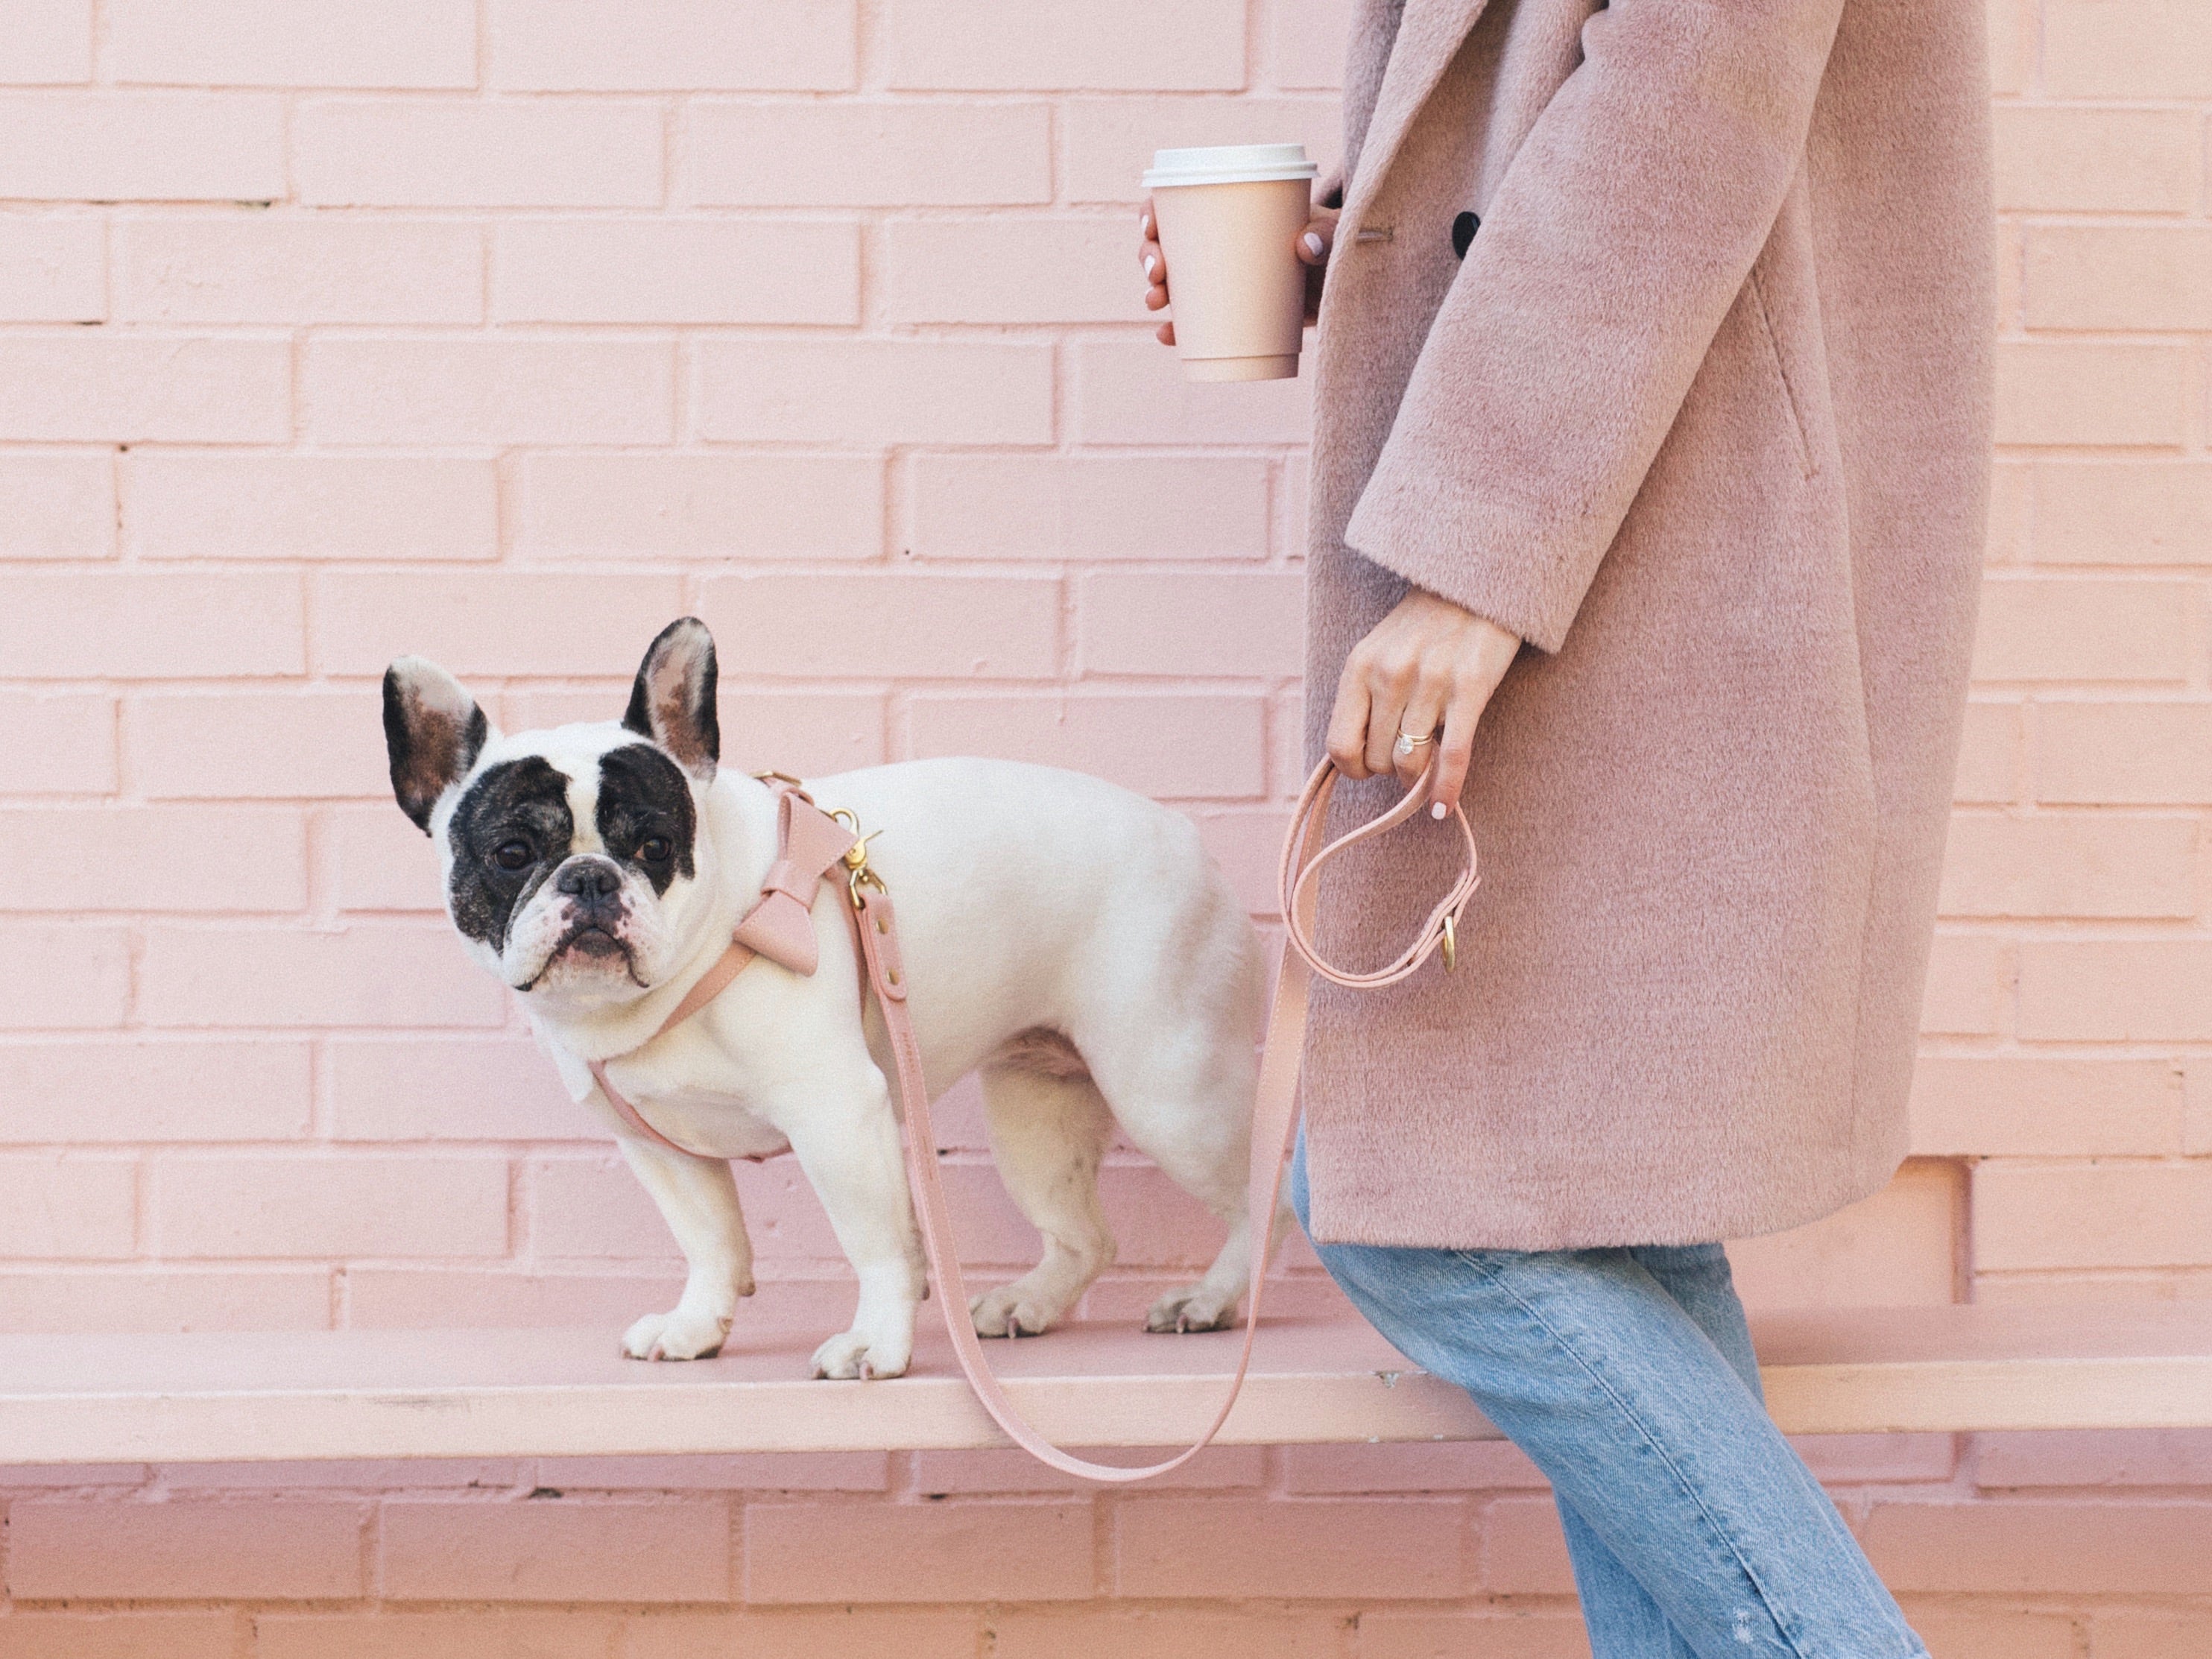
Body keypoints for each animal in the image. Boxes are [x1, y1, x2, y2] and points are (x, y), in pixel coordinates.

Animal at [389, 619, 1274, 1380]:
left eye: (655, 846)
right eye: (512, 853)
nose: (592, 880)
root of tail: (1185, 836)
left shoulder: (838, 1114)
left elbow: (879, 1247)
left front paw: (875, 1346)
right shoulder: (660, 1147)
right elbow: (711, 1244)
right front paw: (695, 1326)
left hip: (1168, 1091)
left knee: (1260, 1198)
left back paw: (1211, 1298)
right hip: (1037, 1119)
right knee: (1084, 1236)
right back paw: (1030, 1304)